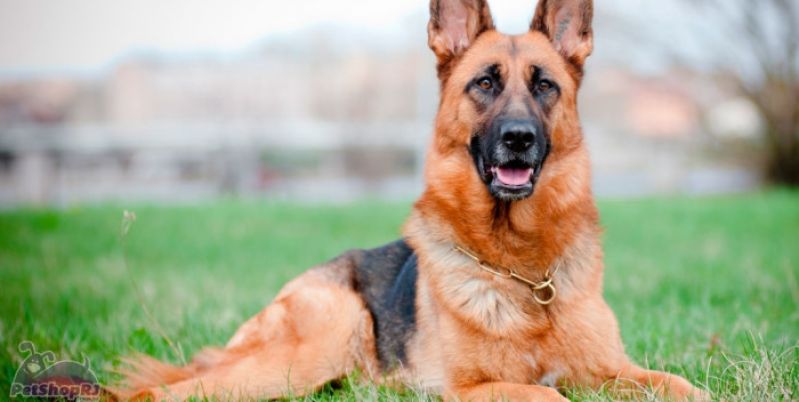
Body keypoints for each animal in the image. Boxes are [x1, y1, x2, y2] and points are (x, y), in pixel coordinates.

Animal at [117, 1, 708, 400]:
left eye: (545, 86)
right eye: (485, 83)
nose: (519, 138)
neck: (523, 270)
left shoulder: (617, 371)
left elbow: (684, 385)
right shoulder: (475, 389)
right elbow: (549, 393)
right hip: (309, 350)